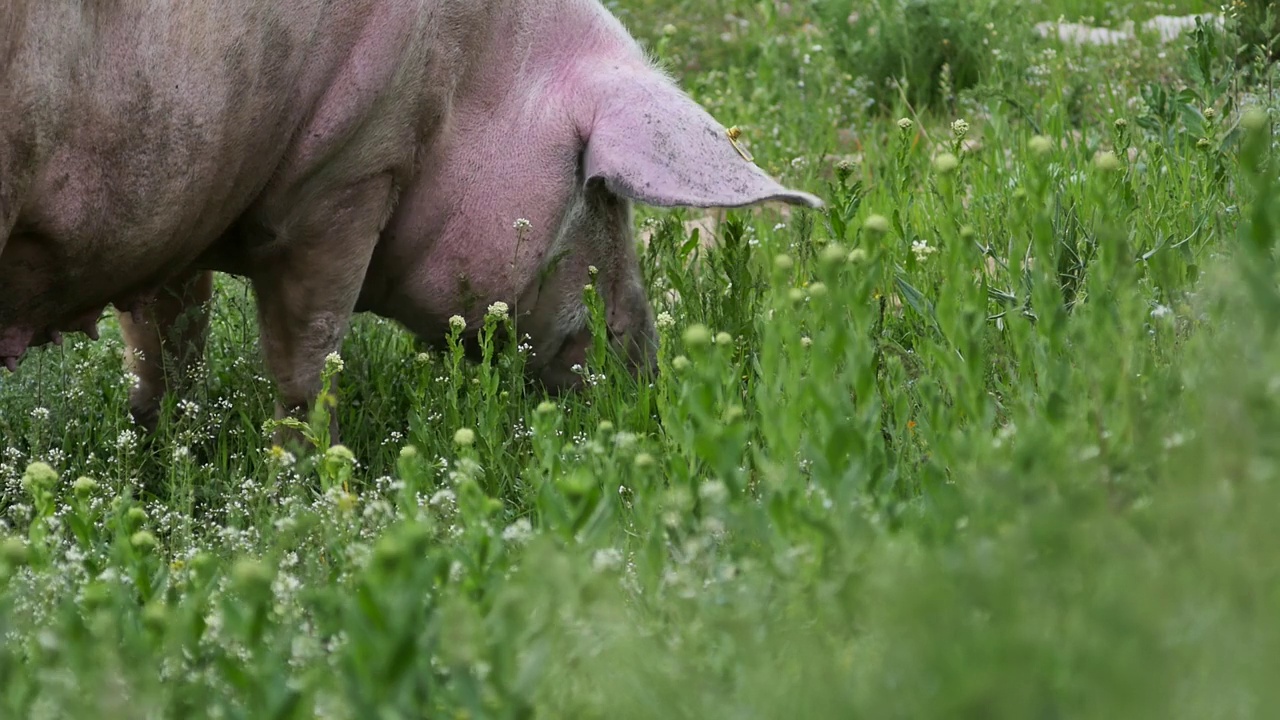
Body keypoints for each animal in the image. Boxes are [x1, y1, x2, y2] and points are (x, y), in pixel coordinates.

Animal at [0, 0, 819, 440]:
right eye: (604, 195)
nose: (648, 370)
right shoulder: (351, 172)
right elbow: (309, 351)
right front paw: (312, 478)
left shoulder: (178, 206)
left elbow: (170, 340)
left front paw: (159, 440)